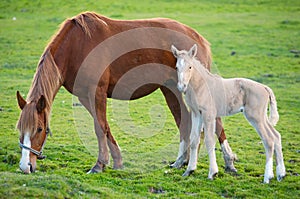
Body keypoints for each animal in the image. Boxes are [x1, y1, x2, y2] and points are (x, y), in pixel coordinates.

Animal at [16, 11, 237, 173]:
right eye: (20, 129)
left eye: (39, 129)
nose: (25, 166)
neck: (77, 45)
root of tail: (197, 38)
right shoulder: (85, 96)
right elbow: (104, 126)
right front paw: (116, 161)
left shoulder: (97, 92)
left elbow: (99, 128)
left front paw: (99, 165)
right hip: (171, 89)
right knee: (185, 121)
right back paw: (183, 161)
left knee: (214, 121)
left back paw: (228, 161)